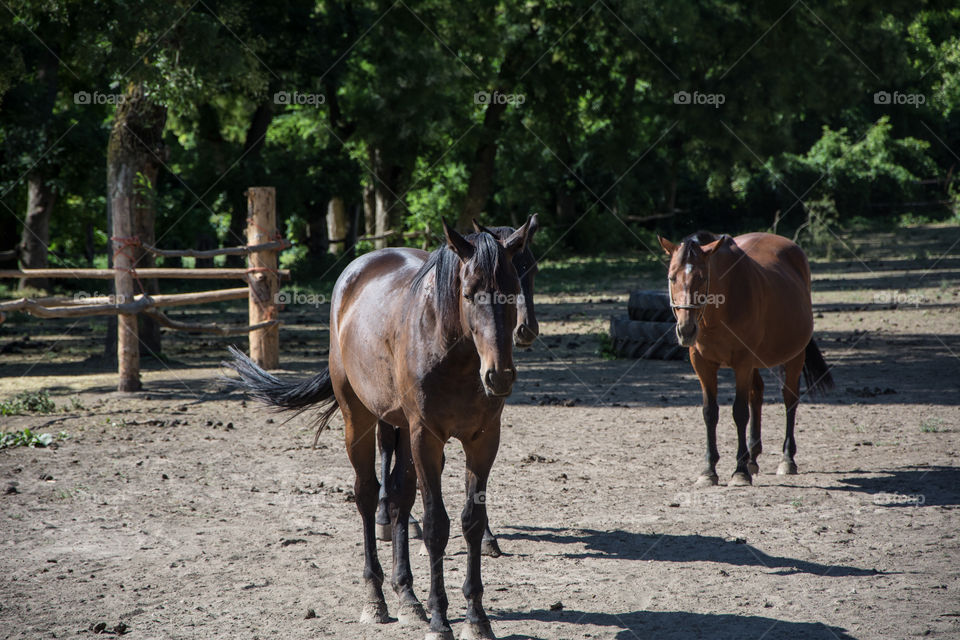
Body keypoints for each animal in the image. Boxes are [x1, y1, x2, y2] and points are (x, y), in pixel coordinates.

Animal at [376, 214, 540, 556]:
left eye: (530, 273)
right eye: (468, 294)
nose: (526, 329)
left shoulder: (482, 427)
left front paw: (487, 536)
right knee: (385, 447)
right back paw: (387, 517)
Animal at [660, 232, 832, 488]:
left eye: (702, 278)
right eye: (672, 277)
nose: (686, 330)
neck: (718, 314)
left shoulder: (742, 363)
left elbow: (740, 412)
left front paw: (739, 472)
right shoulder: (703, 365)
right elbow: (710, 413)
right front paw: (709, 470)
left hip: (793, 357)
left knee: (789, 400)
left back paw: (786, 459)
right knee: (756, 394)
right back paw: (752, 457)